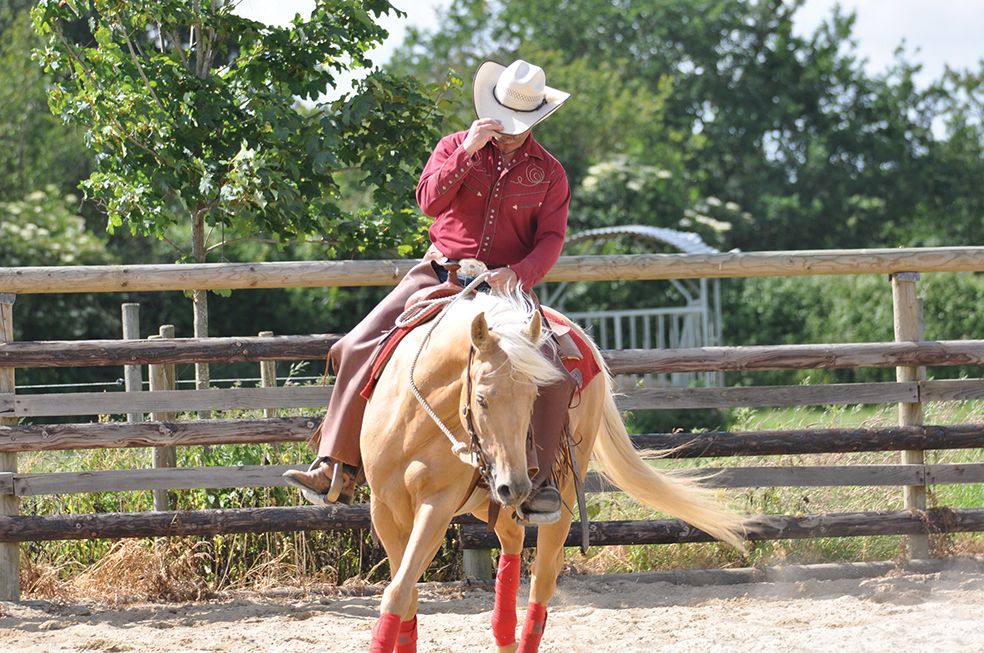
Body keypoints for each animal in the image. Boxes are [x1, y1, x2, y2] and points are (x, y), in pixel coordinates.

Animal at [359, 288, 745, 653]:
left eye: (535, 397)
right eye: (481, 399)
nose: (516, 486)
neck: (416, 422)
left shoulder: (436, 507)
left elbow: (399, 591)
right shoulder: (384, 510)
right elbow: (405, 592)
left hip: (561, 491)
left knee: (544, 575)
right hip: (492, 498)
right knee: (512, 542)